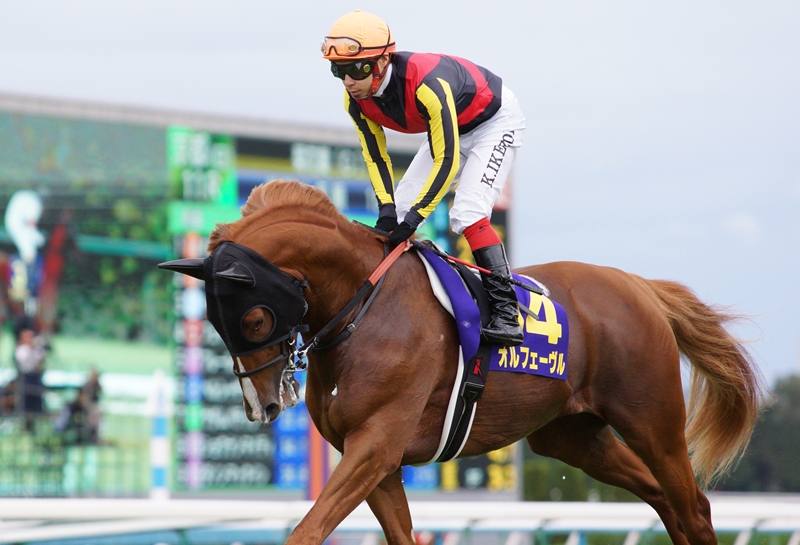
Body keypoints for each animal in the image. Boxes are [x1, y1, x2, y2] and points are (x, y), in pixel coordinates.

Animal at [160, 179, 766, 545]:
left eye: (254, 321)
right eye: (212, 323)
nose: (260, 405)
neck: (364, 308)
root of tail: (640, 287)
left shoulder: (375, 445)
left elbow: (305, 532)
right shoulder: (378, 462)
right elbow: (399, 535)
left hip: (652, 422)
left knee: (694, 508)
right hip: (572, 437)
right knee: (664, 499)